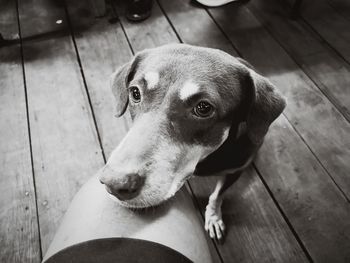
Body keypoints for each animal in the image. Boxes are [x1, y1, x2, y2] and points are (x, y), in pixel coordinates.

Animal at [98, 43, 284, 241]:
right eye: (135, 92)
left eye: (203, 108)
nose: (114, 184)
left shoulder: (235, 171)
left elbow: (217, 195)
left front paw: (214, 217)